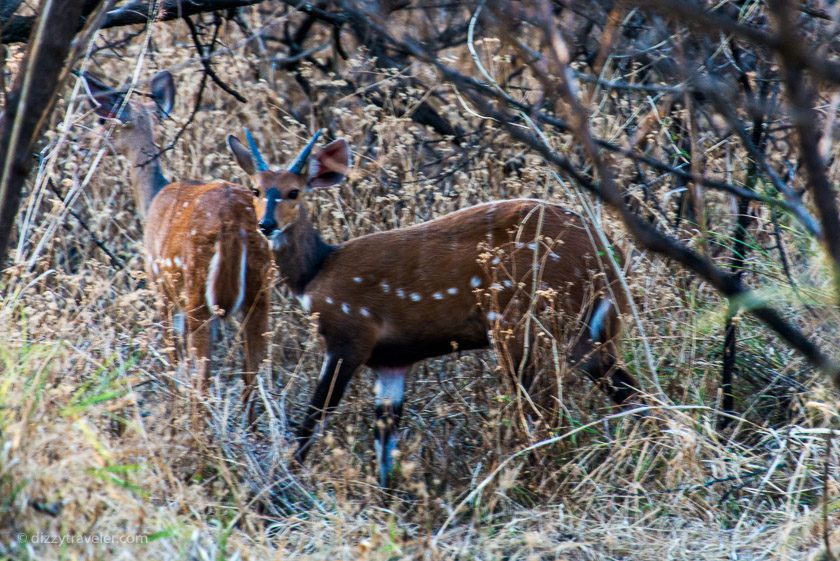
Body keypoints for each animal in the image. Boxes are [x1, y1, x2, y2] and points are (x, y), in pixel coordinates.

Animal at [84, 72, 272, 426]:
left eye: (104, 119)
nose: (89, 142)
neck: (152, 199)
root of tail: (232, 226)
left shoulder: (162, 290)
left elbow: (172, 363)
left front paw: (171, 419)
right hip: (260, 293)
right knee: (253, 374)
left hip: (197, 293)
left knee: (202, 378)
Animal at [226, 129, 640, 484]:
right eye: (256, 189)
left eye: (294, 192)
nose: (266, 224)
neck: (317, 271)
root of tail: (609, 260)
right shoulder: (392, 362)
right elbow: (385, 443)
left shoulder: (350, 337)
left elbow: (315, 414)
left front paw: (282, 483)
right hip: (583, 336)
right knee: (630, 393)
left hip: (521, 326)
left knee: (542, 410)